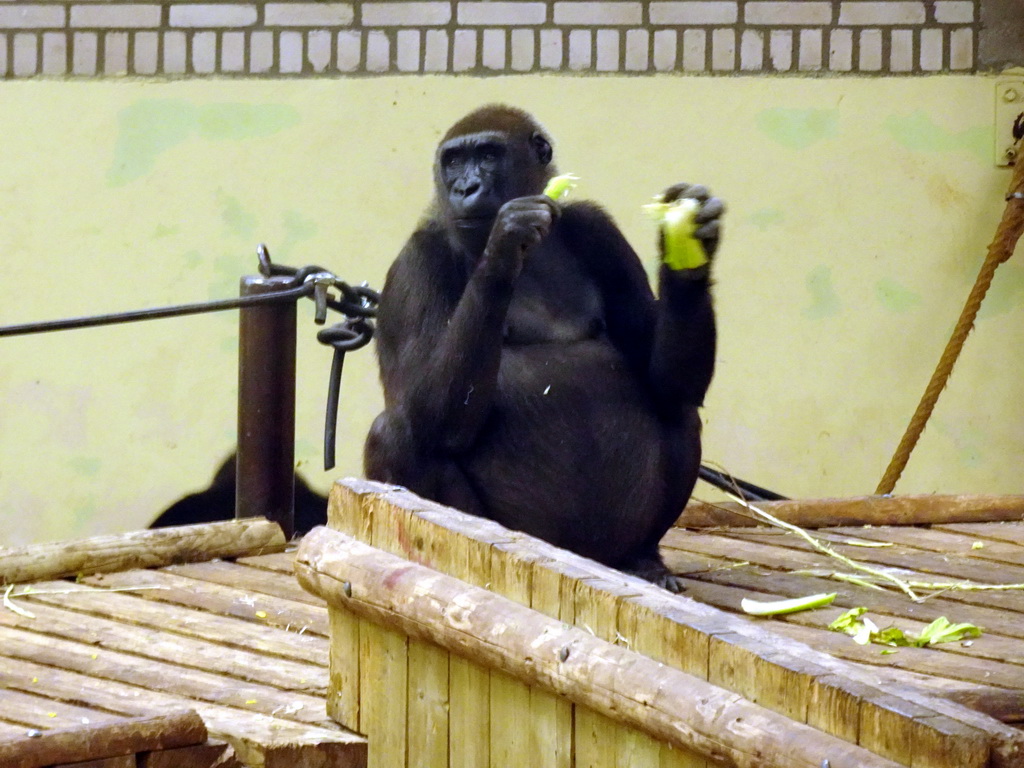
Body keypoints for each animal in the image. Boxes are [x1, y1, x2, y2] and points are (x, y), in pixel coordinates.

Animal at [364, 103, 724, 593]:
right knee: (399, 435)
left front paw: (690, 246)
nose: (464, 188)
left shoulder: (598, 229)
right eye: (453, 161)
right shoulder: (415, 263)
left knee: (678, 408)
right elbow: (425, 416)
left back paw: (641, 559)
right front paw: (502, 248)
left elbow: (667, 381)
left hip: (605, 551)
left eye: (488, 154)